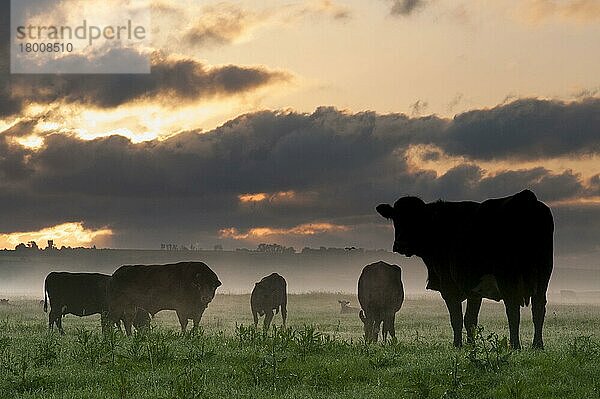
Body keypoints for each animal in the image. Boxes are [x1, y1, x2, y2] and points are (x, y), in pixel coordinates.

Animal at [378, 191, 556, 350]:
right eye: (396, 218)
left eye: (417, 219)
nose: (401, 244)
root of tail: (526, 198)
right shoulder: (474, 289)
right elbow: (470, 319)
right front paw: (471, 345)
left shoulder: (449, 286)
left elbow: (456, 318)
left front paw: (457, 345)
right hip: (543, 275)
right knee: (538, 308)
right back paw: (537, 345)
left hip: (508, 277)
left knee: (513, 310)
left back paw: (515, 345)